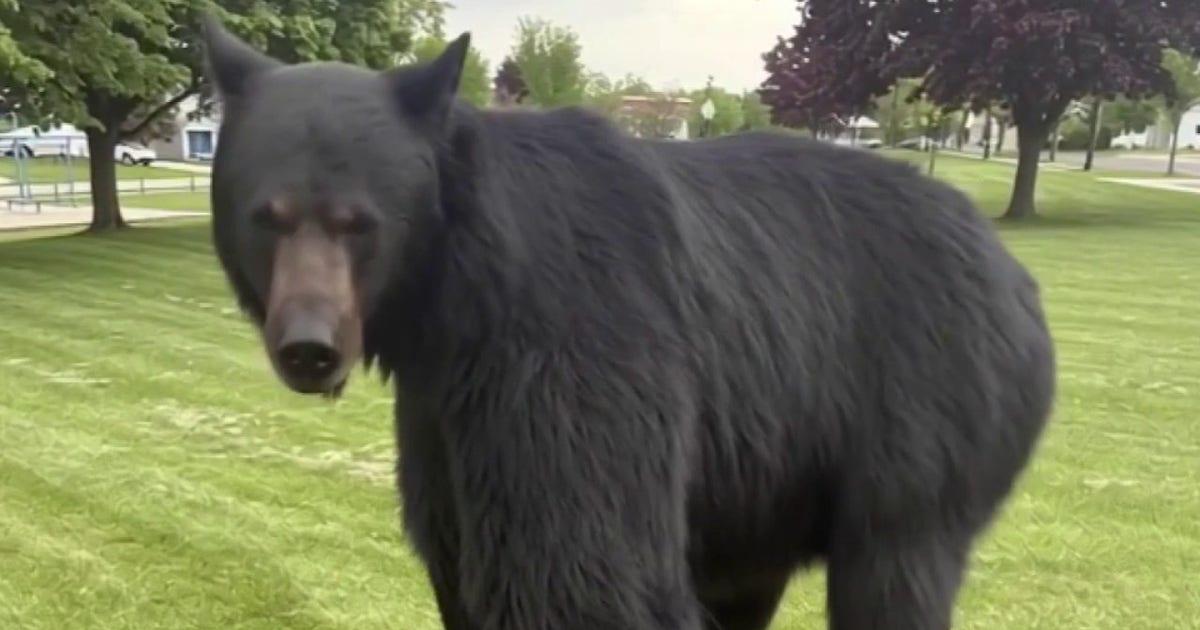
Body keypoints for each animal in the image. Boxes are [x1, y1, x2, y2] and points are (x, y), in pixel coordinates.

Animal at [200, 15, 1056, 630]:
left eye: (360, 222)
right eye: (268, 216)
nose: (309, 348)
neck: (452, 294)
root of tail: (1016, 274)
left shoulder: (568, 347)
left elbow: (589, 573)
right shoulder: (441, 416)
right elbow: (460, 564)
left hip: (930, 418)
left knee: (894, 570)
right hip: (767, 488)